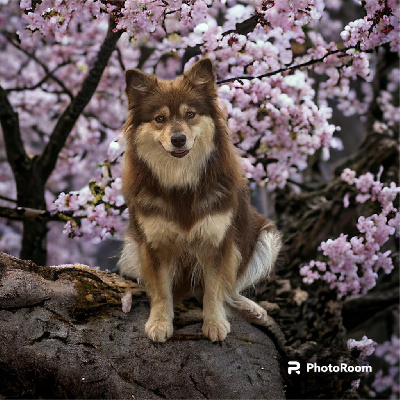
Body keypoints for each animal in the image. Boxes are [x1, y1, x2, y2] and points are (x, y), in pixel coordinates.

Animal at [119, 57, 282, 342]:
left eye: (190, 115)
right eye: (160, 119)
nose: (178, 139)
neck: (181, 182)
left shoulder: (216, 241)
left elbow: (215, 289)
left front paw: (215, 323)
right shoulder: (154, 244)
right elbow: (161, 290)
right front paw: (160, 323)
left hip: (265, 237)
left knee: (231, 288)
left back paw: (249, 307)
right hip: (131, 248)